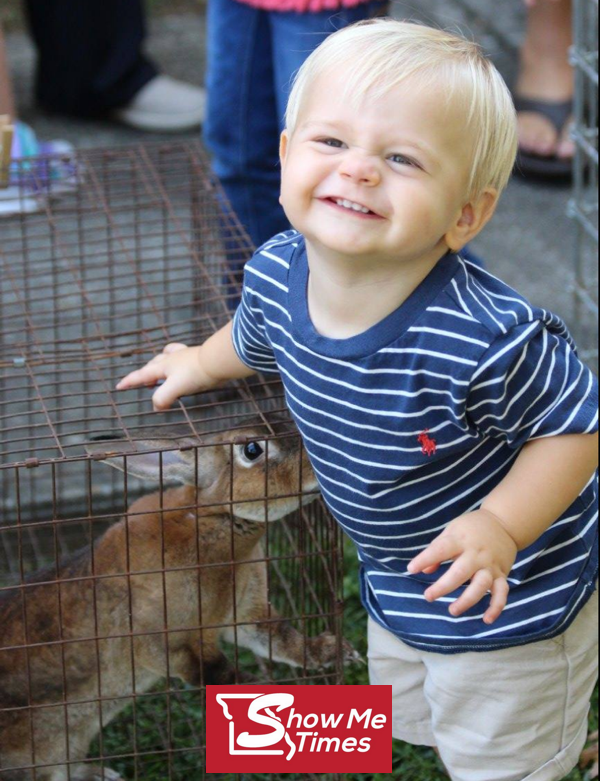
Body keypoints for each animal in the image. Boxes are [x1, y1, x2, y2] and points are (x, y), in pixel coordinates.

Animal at [0, 420, 358, 780]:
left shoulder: (245, 614)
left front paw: (337, 652)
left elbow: (282, 641)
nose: (323, 465)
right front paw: (256, 695)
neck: (212, 520)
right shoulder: (159, 640)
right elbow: (212, 671)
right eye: (252, 449)